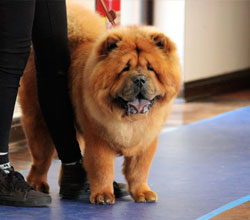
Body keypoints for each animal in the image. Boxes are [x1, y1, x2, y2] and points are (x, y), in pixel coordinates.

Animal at [18, 2, 181, 205]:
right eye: (125, 69)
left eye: (151, 68)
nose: (140, 79)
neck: (129, 120)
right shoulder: (99, 140)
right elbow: (102, 169)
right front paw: (103, 195)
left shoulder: (146, 142)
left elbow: (139, 170)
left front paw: (142, 192)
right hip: (40, 122)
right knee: (41, 159)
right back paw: (37, 185)